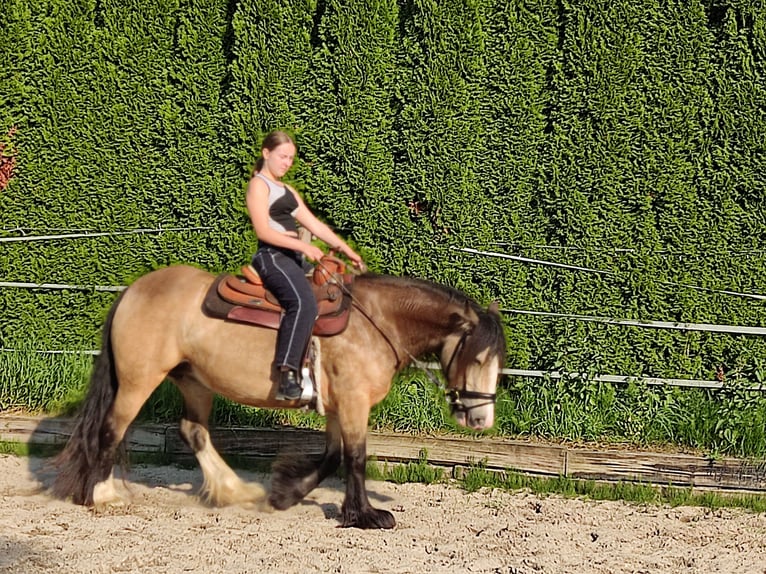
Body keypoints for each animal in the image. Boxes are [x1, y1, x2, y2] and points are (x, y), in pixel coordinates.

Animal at [51, 260, 508, 532]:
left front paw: (287, 494)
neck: (376, 323)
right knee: (111, 429)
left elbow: (333, 457)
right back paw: (104, 495)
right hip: (138, 381)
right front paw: (366, 515)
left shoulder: (338, 406)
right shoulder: (354, 401)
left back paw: (235, 490)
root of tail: (132, 291)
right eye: (478, 356)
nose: (482, 420)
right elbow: (356, 458)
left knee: (193, 431)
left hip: (193, 381)